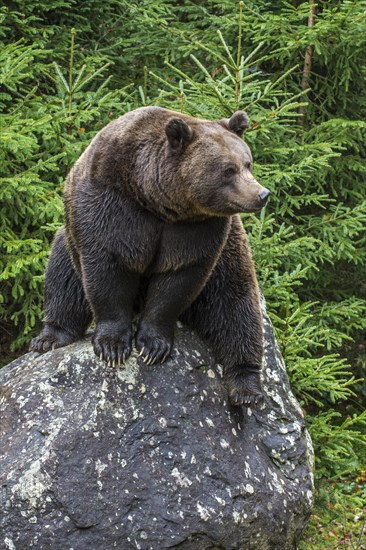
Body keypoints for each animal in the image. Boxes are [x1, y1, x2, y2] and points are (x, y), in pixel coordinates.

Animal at [30, 106, 270, 406]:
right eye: (228, 169)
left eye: (248, 163)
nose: (262, 194)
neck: (157, 200)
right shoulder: (111, 208)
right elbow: (107, 270)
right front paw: (112, 346)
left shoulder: (199, 231)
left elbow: (178, 280)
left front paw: (153, 346)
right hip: (68, 238)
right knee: (62, 280)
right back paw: (49, 338)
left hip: (230, 257)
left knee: (237, 308)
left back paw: (246, 388)